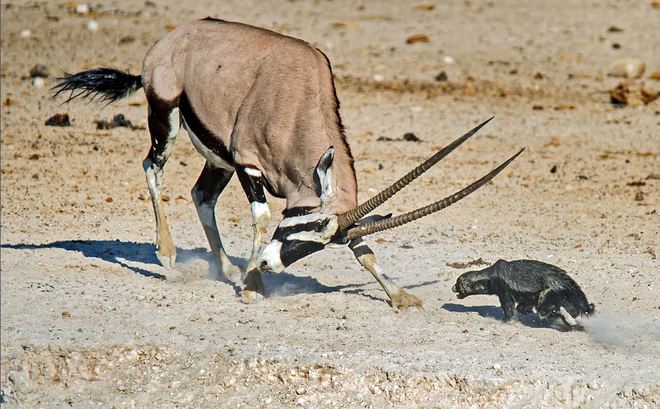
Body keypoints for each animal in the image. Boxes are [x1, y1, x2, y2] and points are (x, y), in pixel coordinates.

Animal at [54, 17, 524, 308]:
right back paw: (170, 257)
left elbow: (363, 247)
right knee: (153, 168)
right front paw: (252, 287)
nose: (268, 264)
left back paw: (227, 268)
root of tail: (170, 40)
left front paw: (399, 296)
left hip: (218, 159)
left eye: (321, 240)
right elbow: (262, 219)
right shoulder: (249, 166)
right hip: (166, 118)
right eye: (302, 224)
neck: (297, 102)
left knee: (201, 195)